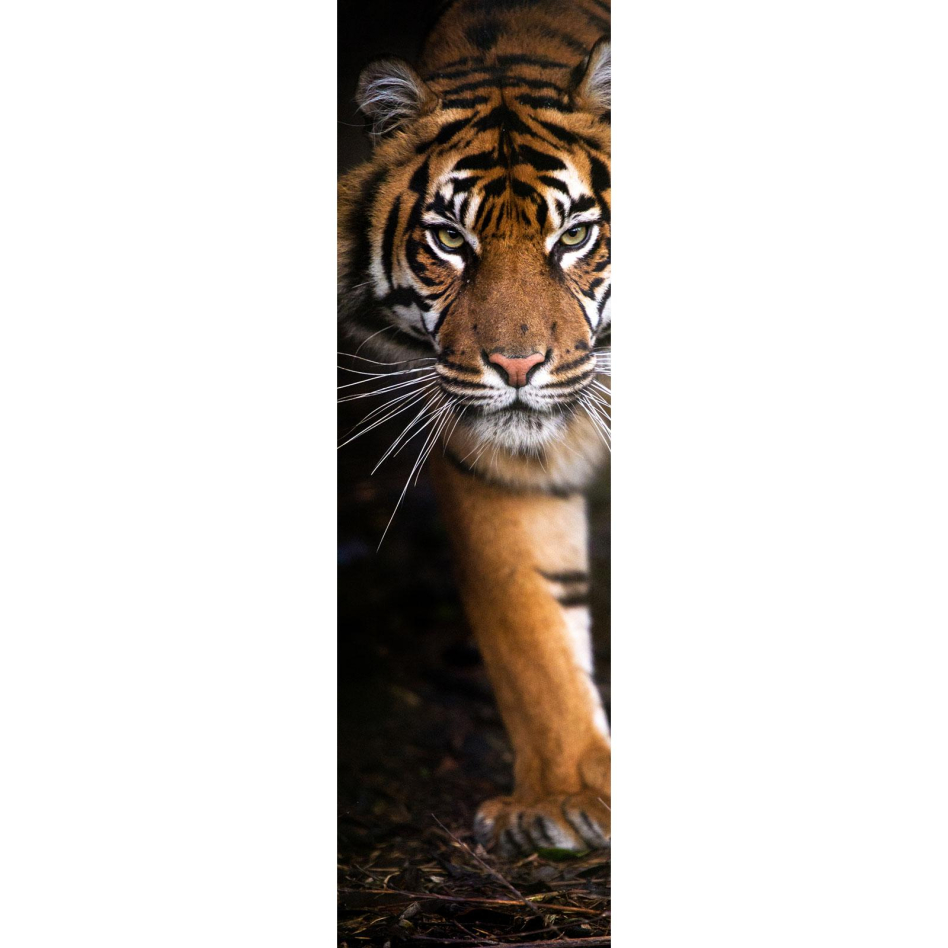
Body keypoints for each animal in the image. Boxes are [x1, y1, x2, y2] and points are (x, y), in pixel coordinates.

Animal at [338, 0, 611, 855]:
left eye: (574, 237)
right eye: (451, 241)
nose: (517, 367)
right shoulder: (496, 461)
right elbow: (531, 627)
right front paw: (567, 797)